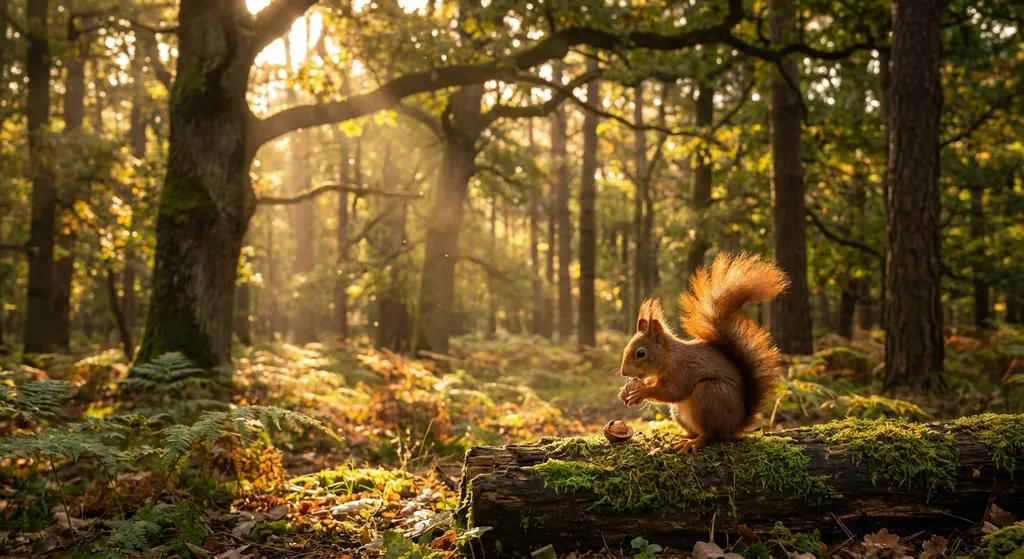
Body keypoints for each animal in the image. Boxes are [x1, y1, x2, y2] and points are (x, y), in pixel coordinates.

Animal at [617, 252, 788, 454]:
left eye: (640, 353)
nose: (624, 373)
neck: (667, 357)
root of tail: (737, 424)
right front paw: (626, 391)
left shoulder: (680, 370)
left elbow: (672, 392)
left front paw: (641, 392)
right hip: (680, 412)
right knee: (696, 431)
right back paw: (682, 436)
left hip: (708, 395)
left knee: (712, 436)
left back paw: (694, 443)